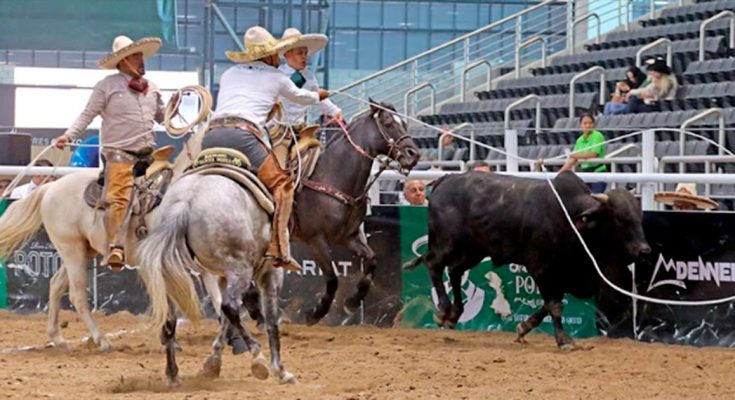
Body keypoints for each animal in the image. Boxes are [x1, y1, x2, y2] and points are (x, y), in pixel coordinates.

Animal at [0, 129, 206, 350]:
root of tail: (50, 188)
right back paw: (102, 340)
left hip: (83, 251)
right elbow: (166, 297)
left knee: (56, 284)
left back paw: (58, 338)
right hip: (71, 249)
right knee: (77, 295)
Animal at [406, 172, 652, 350]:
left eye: (639, 218)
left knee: (455, 272)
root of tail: (445, 179)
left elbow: (550, 303)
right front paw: (564, 340)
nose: (644, 250)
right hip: (448, 244)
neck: (572, 219)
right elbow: (554, 305)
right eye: (619, 219)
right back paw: (443, 310)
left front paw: (524, 327)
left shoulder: (563, 275)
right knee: (434, 265)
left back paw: (454, 314)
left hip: (473, 251)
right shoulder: (541, 268)